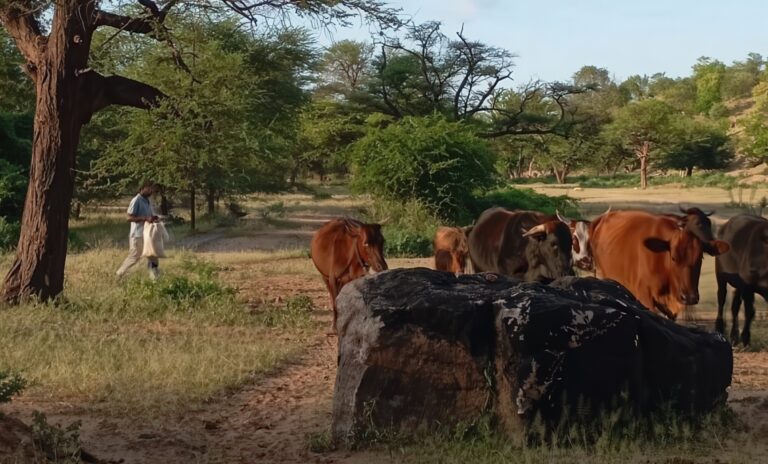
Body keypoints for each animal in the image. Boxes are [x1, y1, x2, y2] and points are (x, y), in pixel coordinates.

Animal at [715, 214, 768, 346]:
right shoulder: (748, 286)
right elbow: (749, 311)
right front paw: (745, 338)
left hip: (738, 285)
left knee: (735, 306)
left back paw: (734, 336)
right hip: (721, 275)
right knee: (721, 299)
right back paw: (720, 330)